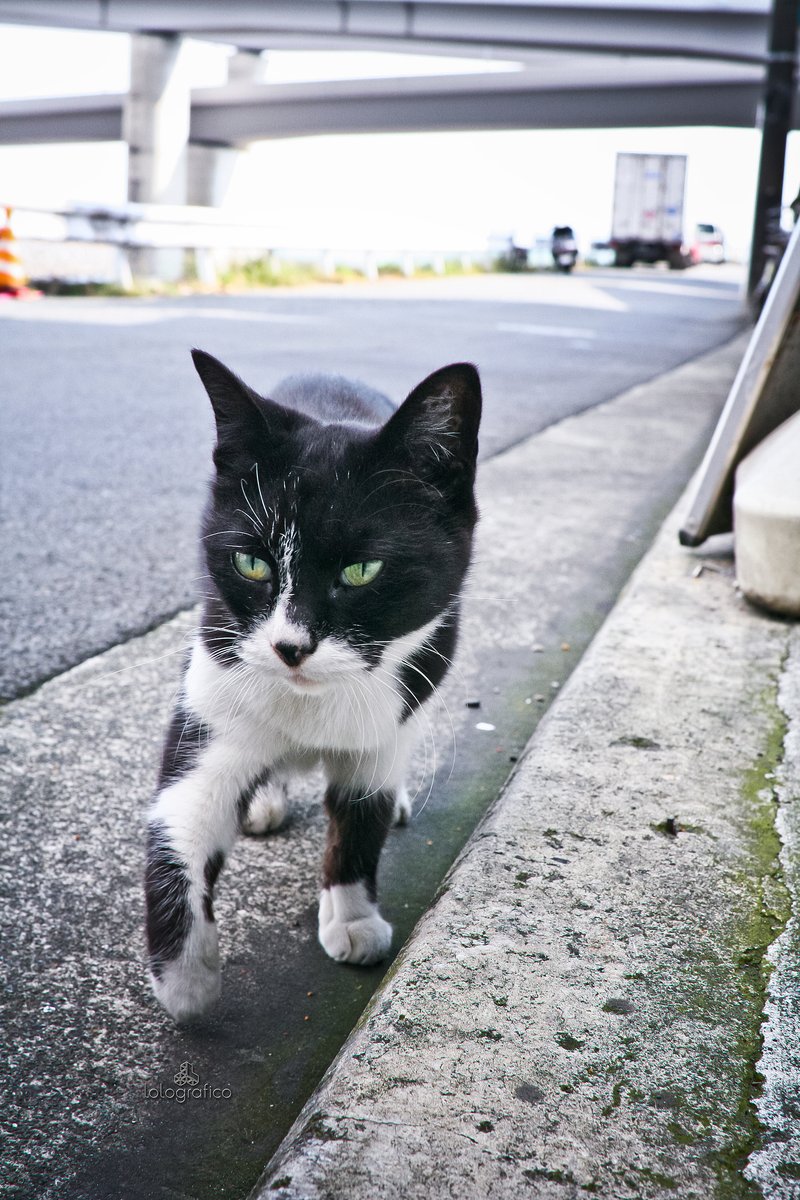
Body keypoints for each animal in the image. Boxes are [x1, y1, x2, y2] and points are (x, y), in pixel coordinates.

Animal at [145, 352, 482, 1022]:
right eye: (252, 563)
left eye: (362, 571)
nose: (289, 647)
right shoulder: (213, 683)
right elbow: (180, 820)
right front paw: (186, 978)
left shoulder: (392, 714)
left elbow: (358, 817)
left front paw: (353, 918)